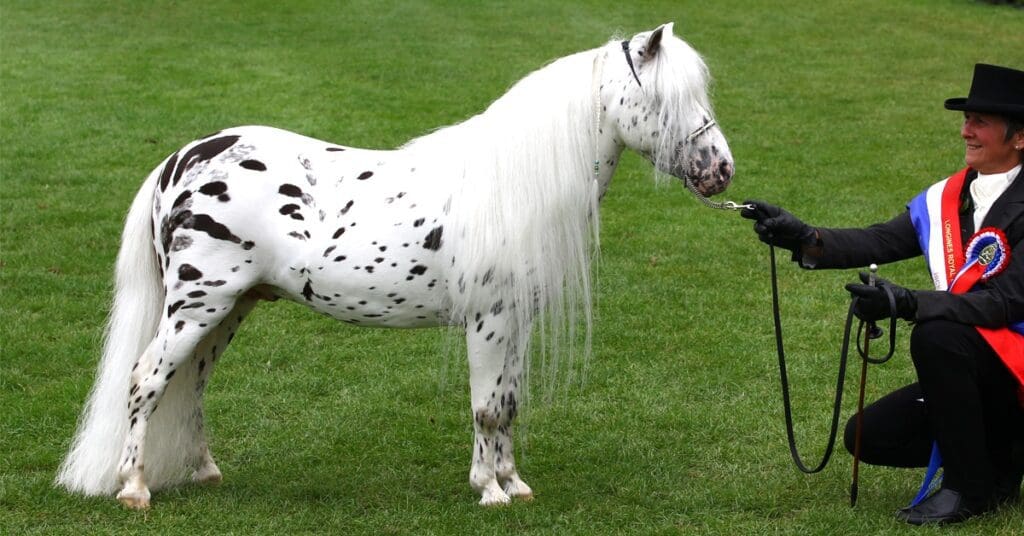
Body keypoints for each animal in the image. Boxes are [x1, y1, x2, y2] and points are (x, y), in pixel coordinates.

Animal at [56, 22, 734, 508]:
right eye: (667, 97)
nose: (720, 170)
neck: (511, 183)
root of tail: (182, 159)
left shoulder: (516, 322)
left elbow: (510, 402)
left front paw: (513, 483)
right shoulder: (489, 322)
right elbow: (487, 407)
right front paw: (490, 492)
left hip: (229, 310)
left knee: (190, 384)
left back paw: (204, 472)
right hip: (198, 306)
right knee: (146, 381)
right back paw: (134, 488)